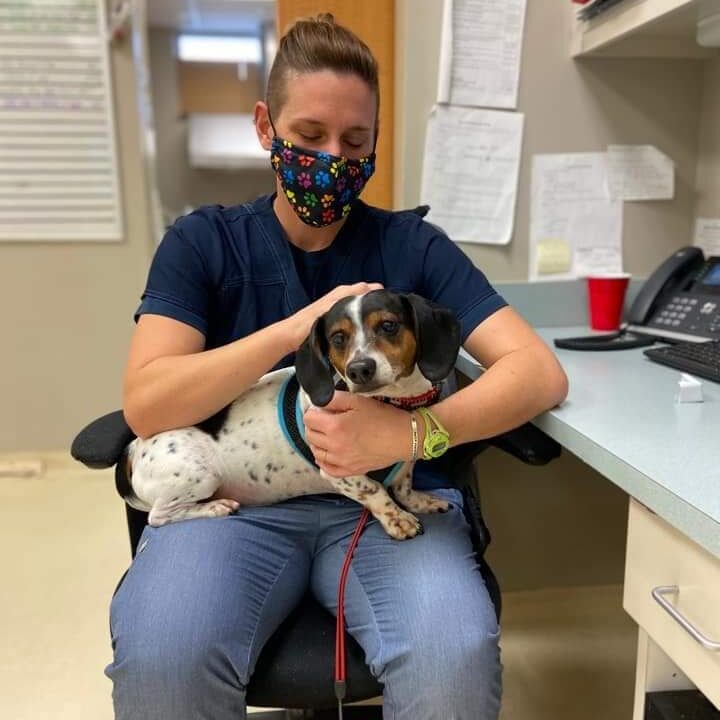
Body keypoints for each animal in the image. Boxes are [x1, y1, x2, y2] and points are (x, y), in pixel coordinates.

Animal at [121, 290, 462, 536]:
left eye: (388, 325)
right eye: (338, 338)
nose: (359, 369)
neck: (391, 402)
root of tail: (135, 448)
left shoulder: (404, 459)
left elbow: (403, 485)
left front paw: (419, 501)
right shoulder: (341, 473)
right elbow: (376, 491)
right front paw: (398, 520)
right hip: (199, 475)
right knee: (158, 516)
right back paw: (215, 508)